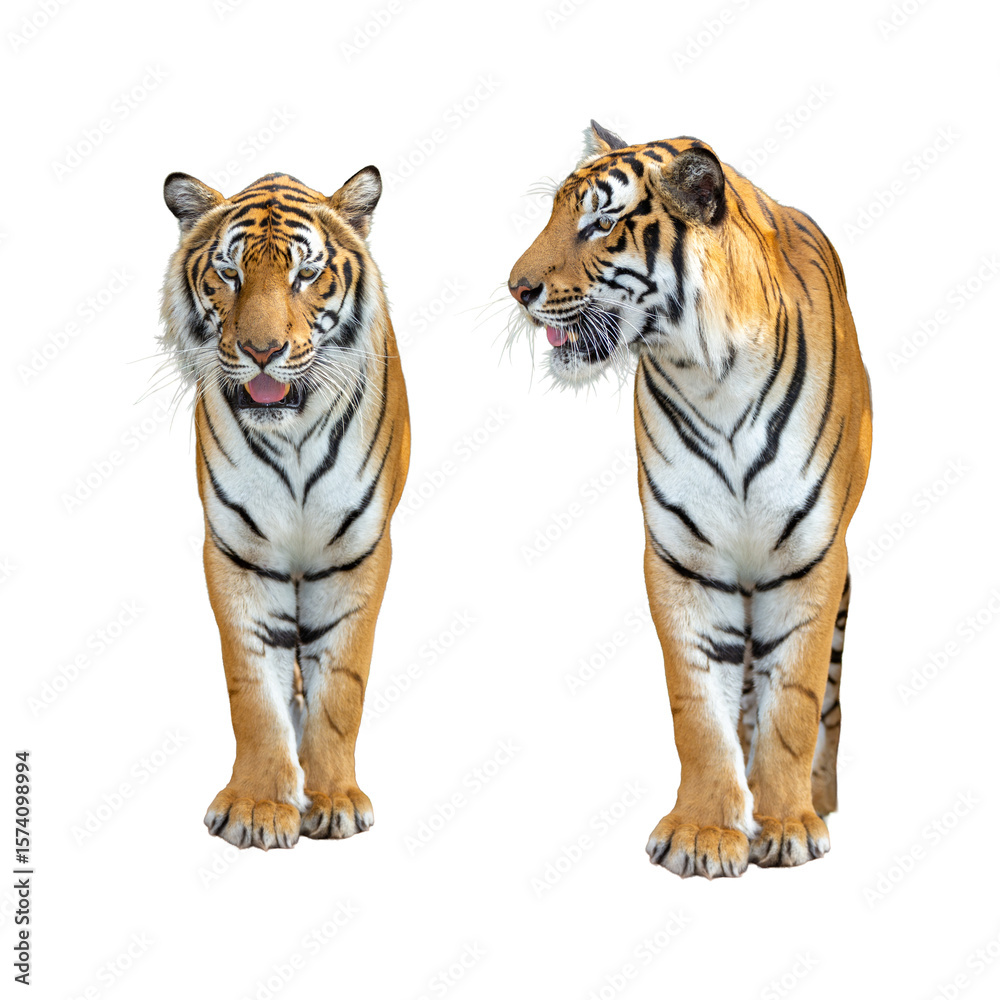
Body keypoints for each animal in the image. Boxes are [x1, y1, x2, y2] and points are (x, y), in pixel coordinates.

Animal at [160, 168, 410, 850]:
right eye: (228, 273)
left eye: (305, 274)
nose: (262, 349)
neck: (291, 432)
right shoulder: (240, 553)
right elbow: (252, 688)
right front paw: (257, 806)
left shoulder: (355, 554)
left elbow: (341, 686)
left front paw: (334, 801)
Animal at [508, 121, 872, 878]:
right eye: (554, 214)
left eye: (602, 223)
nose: (516, 288)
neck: (711, 375)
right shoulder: (684, 559)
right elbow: (699, 708)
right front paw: (704, 831)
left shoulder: (809, 558)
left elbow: (793, 702)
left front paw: (787, 825)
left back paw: (816, 799)